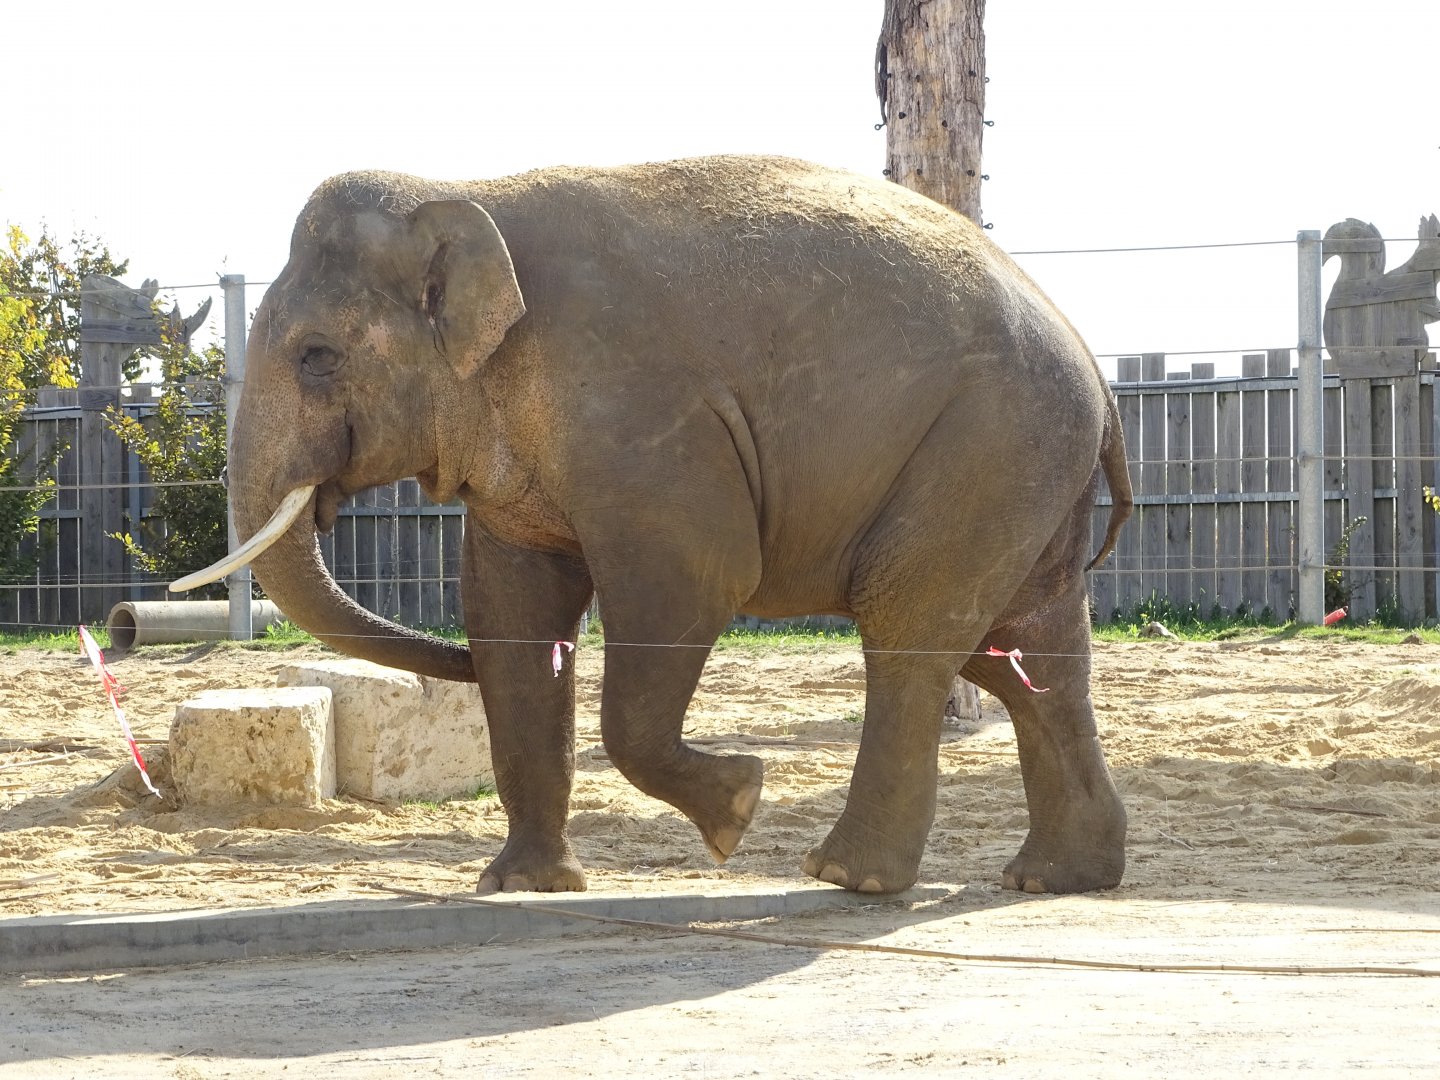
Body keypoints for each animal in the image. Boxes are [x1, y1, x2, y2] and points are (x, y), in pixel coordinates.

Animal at [175, 154, 1133, 896]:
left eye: (316, 357)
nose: (443, 665)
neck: (464, 191)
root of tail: (1094, 366)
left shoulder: (644, 420)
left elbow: (693, 580)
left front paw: (739, 807)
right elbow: (512, 617)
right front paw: (521, 887)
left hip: (986, 445)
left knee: (911, 635)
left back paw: (847, 877)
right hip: (1021, 471)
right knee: (1024, 656)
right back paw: (1055, 879)